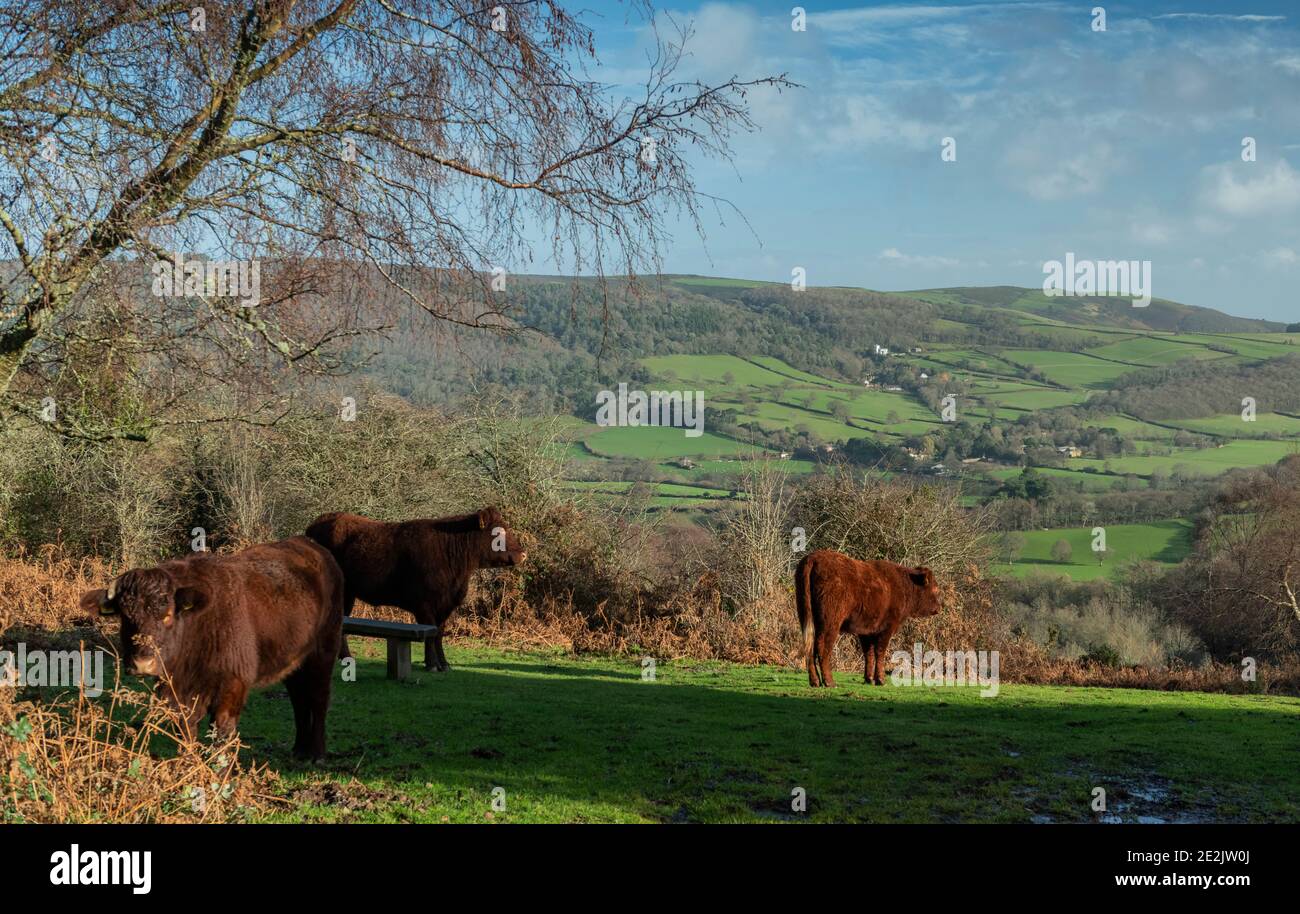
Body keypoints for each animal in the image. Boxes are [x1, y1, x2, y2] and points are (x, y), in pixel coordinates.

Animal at [79, 535, 345, 759]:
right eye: (125, 617)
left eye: (167, 615)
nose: (143, 663)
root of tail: (315, 548)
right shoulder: (179, 696)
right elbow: (186, 733)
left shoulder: (232, 686)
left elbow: (222, 733)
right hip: (294, 661)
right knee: (299, 698)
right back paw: (299, 748)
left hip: (324, 651)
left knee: (319, 697)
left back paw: (316, 753)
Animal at [305, 507, 527, 670]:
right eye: (498, 533)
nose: (523, 554)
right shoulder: (424, 605)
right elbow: (430, 633)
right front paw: (432, 664)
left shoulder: (446, 606)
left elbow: (438, 633)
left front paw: (443, 664)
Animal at [795, 551, 941, 686]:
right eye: (935, 589)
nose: (939, 608)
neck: (904, 586)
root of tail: (813, 557)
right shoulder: (886, 628)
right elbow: (880, 652)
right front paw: (880, 679)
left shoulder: (866, 631)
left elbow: (868, 653)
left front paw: (869, 678)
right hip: (830, 623)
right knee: (822, 647)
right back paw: (829, 682)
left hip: (807, 618)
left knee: (809, 647)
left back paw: (815, 681)